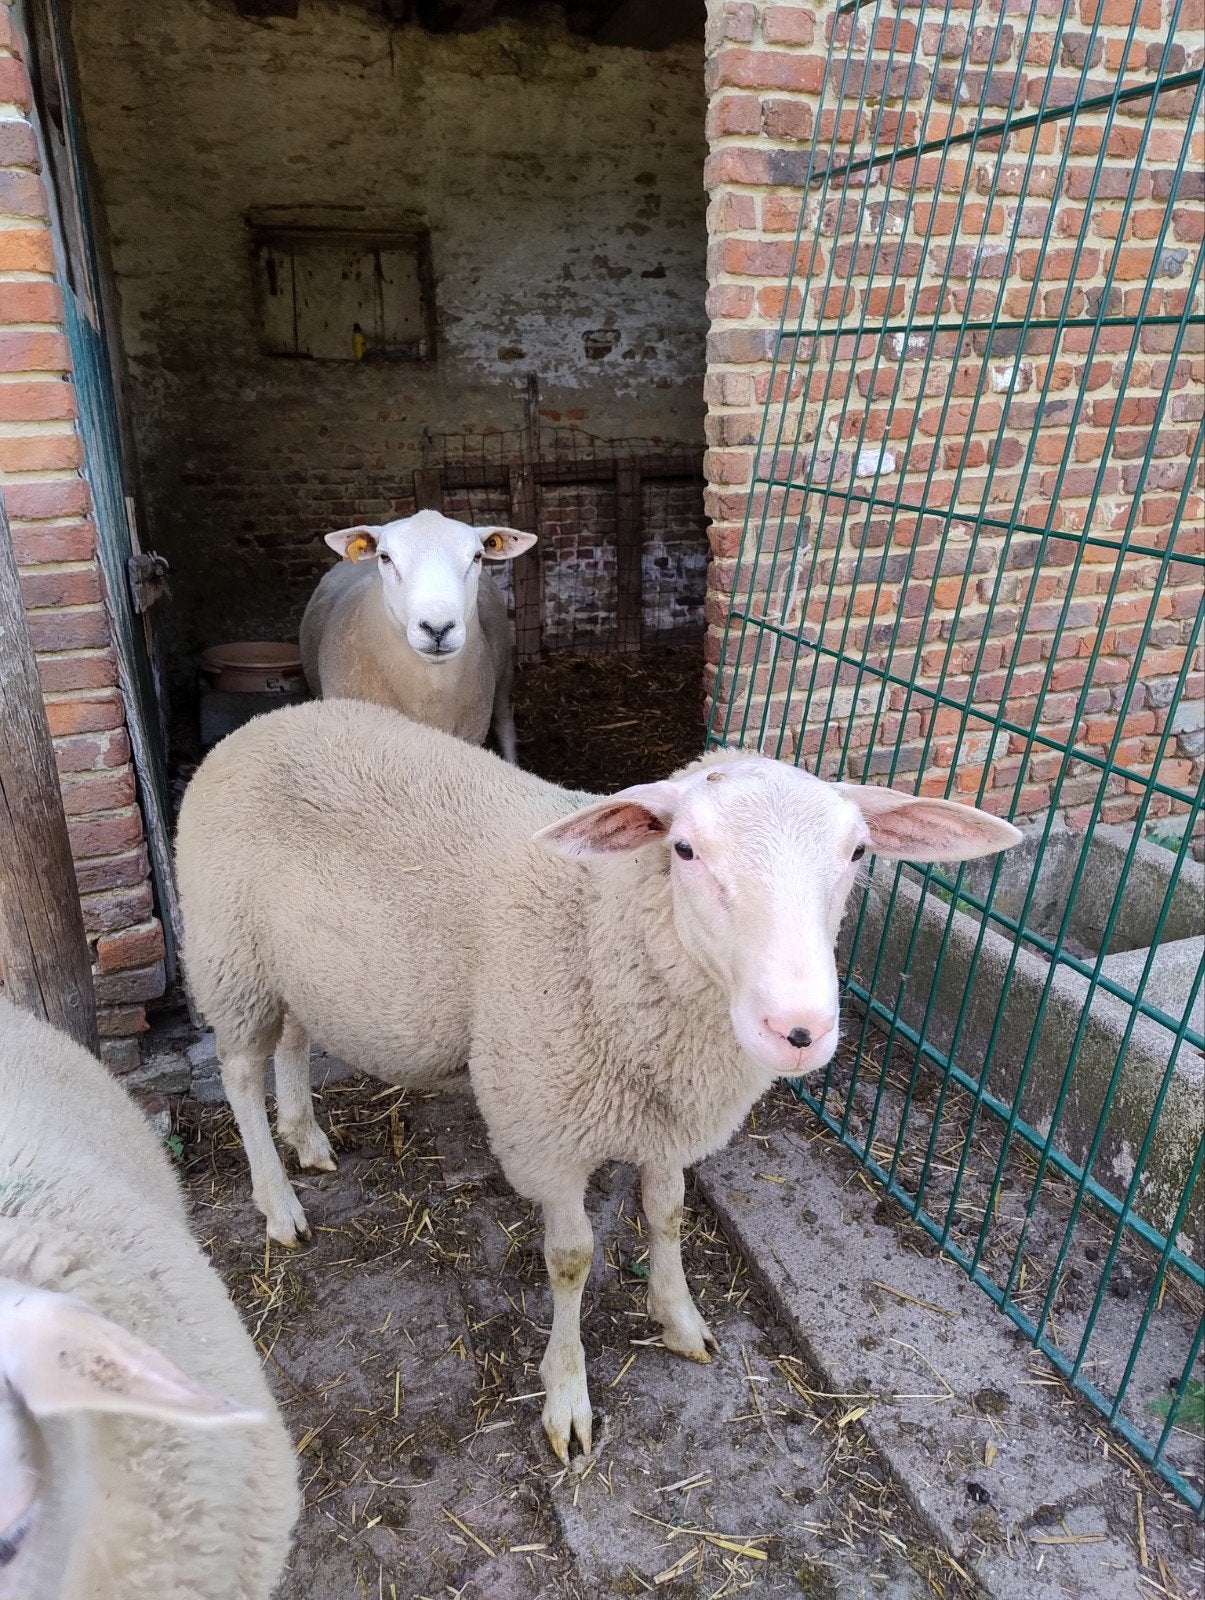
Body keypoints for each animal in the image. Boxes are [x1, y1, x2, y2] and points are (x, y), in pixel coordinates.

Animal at [175, 698, 1021, 1464]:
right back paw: (278, 1200)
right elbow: (572, 1260)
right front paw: (567, 1398)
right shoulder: (542, 1128)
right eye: (683, 849)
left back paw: (307, 1137)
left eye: (856, 853)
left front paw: (678, 1318)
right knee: (241, 1072)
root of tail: (267, 720)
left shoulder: (667, 1120)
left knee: (294, 1038)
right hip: (228, 951)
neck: (600, 928)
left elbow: (668, 1213)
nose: (799, 1028)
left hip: (294, 965)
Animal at [299, 509, 537, 762]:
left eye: (477, 556)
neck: (427, 696)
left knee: (504, 724)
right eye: (385, 557)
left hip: (504, 673)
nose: (438, 628)